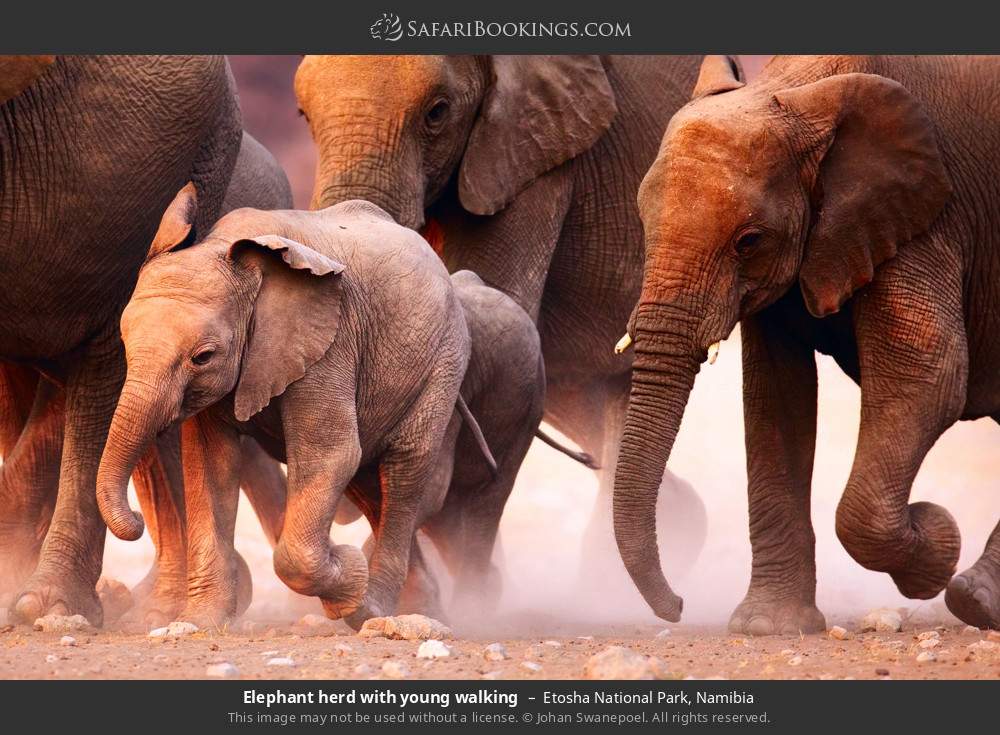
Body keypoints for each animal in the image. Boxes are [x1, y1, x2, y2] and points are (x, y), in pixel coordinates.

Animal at [95, 193, 492, 628]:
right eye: (125, 343)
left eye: (203, 357)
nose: (135, 521)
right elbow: (209, 464)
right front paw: (199, 623)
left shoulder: (330, 343)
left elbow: (329, 455)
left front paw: (348, 575)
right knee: (370, 485)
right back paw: (414, 608)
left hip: (444, 362)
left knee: (404, 471)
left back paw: (372, 608)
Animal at [613, 54, 1000, 632]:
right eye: (641, 222)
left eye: (748, 241)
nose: (678, 606)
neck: (802, 89)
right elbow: (776, 399)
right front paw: (768, 628)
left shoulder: (927, 217)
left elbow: (928, 376)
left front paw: (936, 543)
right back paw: (979, 598)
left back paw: (971, 597)